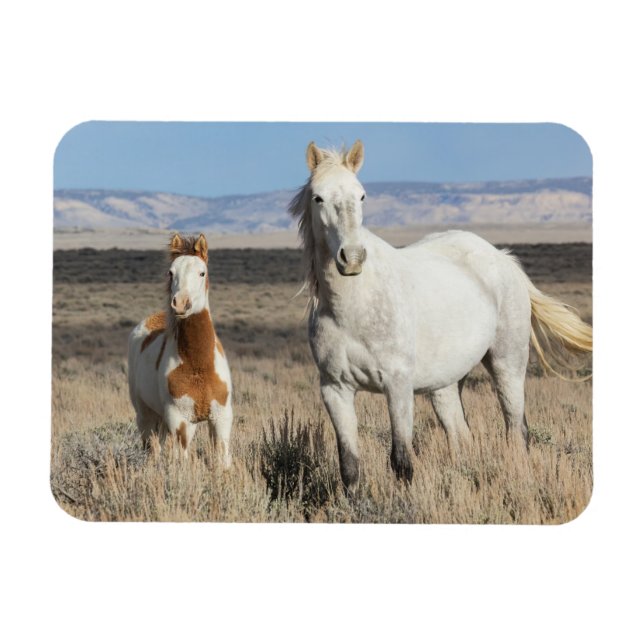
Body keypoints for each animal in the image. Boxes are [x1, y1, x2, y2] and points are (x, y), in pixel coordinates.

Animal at [128, 233, 233, 466]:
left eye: (202, 272)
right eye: (171, 272)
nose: (181, 304)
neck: (198, 366)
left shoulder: (221, 418)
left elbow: (222, 459)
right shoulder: (180, 421)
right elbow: (182, 461)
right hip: (146, 417)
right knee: (152, 450)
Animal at [289, 140, 592, 492]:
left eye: (361, 195)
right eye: (318, 197)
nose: (351, 258)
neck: (352, 306)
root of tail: (503, 258)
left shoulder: (398, 385)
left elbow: (401, 461)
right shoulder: (335, 390)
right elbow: (349, 467)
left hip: (508, 365)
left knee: (517, 432)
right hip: (446, 384)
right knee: (462, 437)